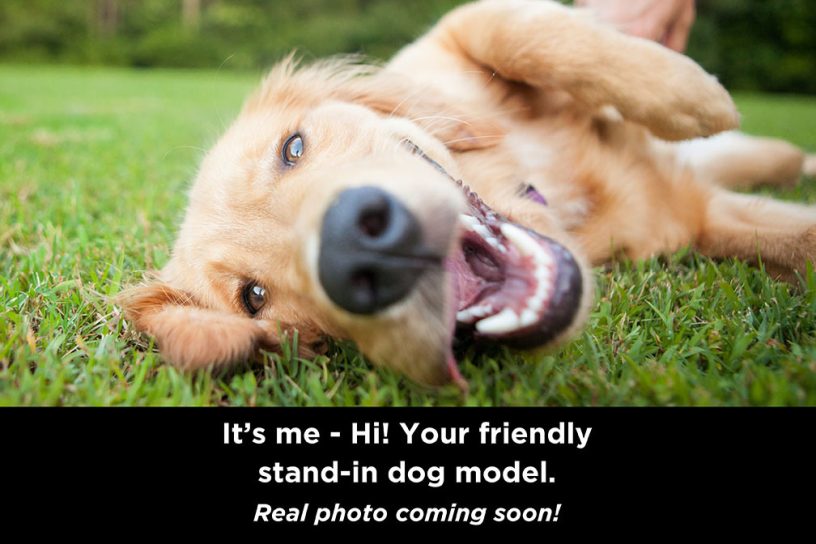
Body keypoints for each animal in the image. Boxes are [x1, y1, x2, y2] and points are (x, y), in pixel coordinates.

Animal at [119, 1, 816, 392]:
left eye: (292, 148)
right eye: (254, 299)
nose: (357, 248)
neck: (548, 191)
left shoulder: (455, 34)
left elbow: (522, 29)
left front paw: (690, 94)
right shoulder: (693, 219)